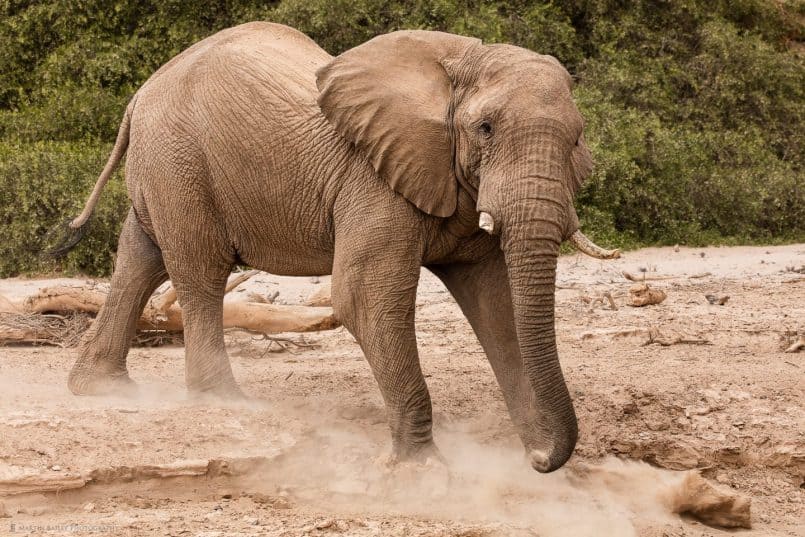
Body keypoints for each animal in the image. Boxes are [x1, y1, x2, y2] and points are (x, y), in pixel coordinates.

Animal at [56, 22, 620, 474]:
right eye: (485, 129)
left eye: (576, 139)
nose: (541, 459)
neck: (458, 65)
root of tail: (141, 93)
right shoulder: (373, 179)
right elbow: (364, 297)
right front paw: (422, 470)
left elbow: (497, 306)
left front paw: (540, 461)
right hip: (180, 163)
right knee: (199, 272)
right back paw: (227, 402)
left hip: (164, 166)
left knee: (141, 260)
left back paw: (102, 387)